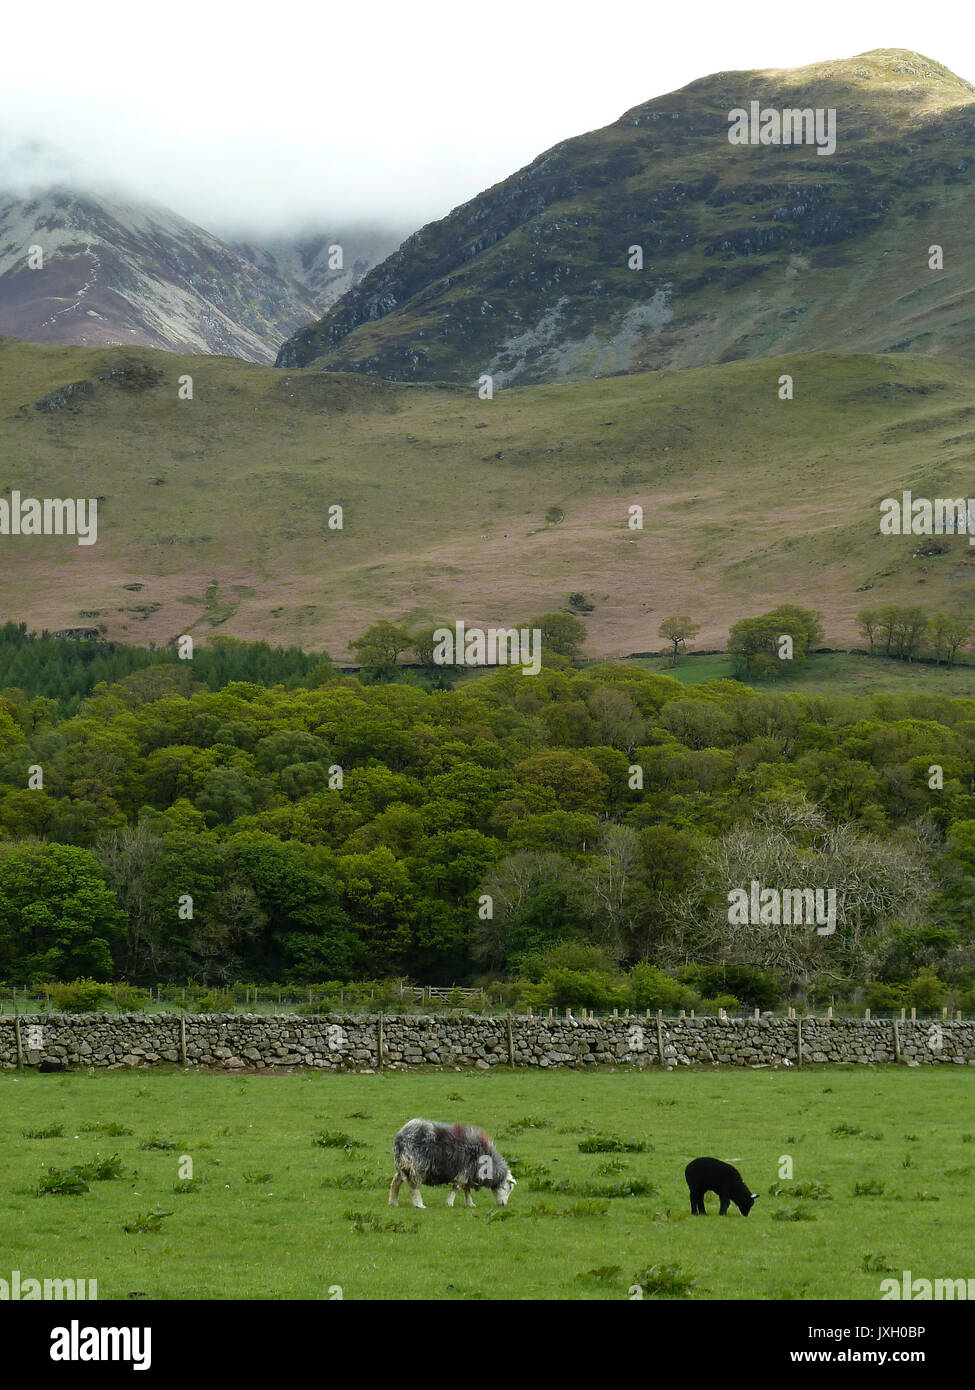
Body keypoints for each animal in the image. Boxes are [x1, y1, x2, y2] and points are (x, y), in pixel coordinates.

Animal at [386, 1117, 517, 1206]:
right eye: (509, 1188)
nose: (503, 1205)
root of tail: (400, 1137)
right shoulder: (464, 1170)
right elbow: (457, 1186)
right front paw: (450, 1202)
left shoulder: (469, 1173)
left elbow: (466, 1189)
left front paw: (470, 1204)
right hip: (416, 1165)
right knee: (414, 1186)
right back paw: (419, 1205)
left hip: (403, 1165)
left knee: (395, 1181)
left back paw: (393, 1202)